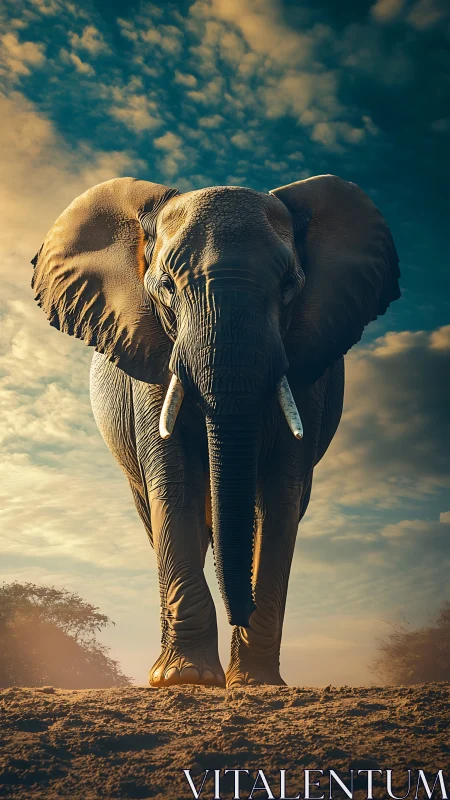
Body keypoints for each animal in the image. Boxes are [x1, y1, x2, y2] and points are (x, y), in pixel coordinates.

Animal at [31, 174, 400, 688]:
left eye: (290, 286)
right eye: (166, 286)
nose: (239, 613)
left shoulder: (308, 371)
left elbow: (278, 498)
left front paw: (255, 682)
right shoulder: (150, 361)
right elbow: (175, 484)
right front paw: (184, 679)